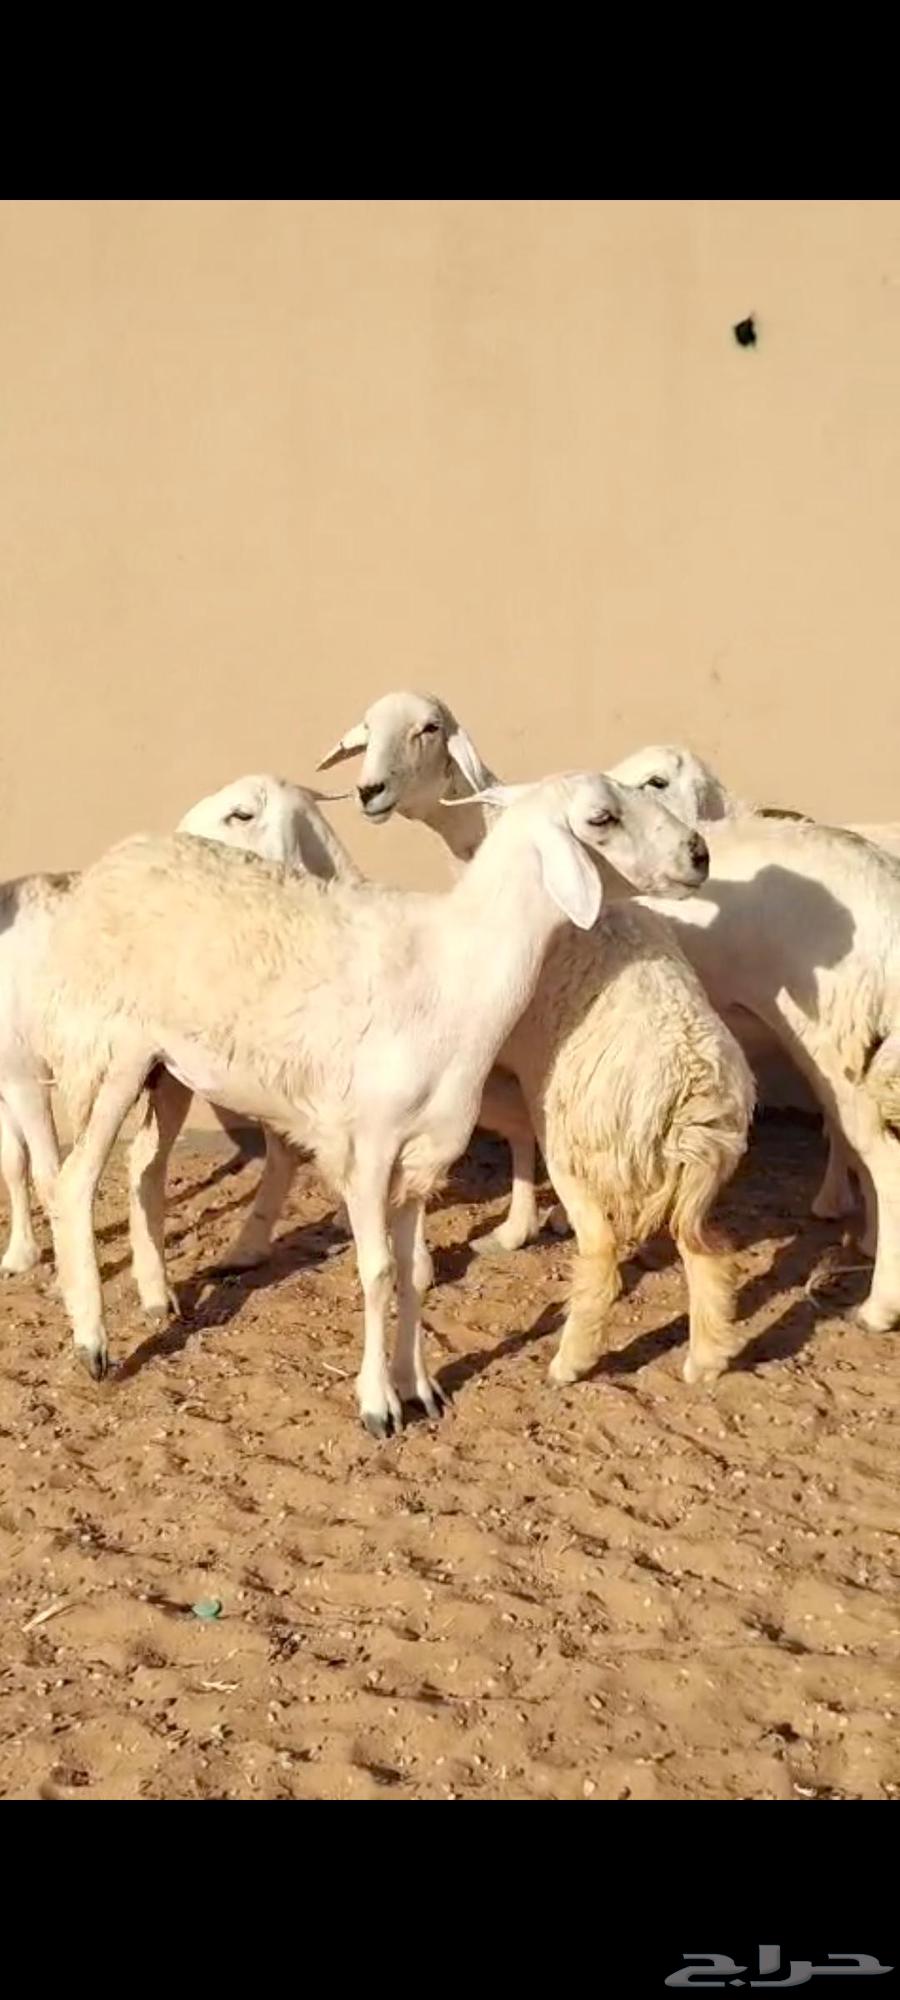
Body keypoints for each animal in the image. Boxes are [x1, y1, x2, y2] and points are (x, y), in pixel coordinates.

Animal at [39, 773, 712, 1430]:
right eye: (602, 818)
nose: (699, 853)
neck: (457, 972)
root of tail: (115, 860)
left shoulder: (423, 1154)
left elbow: (416, 1274)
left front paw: (419, 1387)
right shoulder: (367, 1147)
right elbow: (378, 1272)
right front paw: (377, 1403)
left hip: (169, 1068)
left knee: (144, 1169)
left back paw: (157, 1297)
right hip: (107, 1053)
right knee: (75, 1183)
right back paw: (92, 1342)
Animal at [319, 694, 757, 1389]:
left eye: (428, 729)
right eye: (366, 732)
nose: (369, 791)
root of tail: (691, 1099)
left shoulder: (505, 1064)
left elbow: (502, 1136)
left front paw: (493, 1234)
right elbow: (514, 1135)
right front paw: (517, 1227)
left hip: (579, 1142)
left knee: (601, 1250)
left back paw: (571, 1360)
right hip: (699, 1182)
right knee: (707, 1250)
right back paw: (707, 1358)